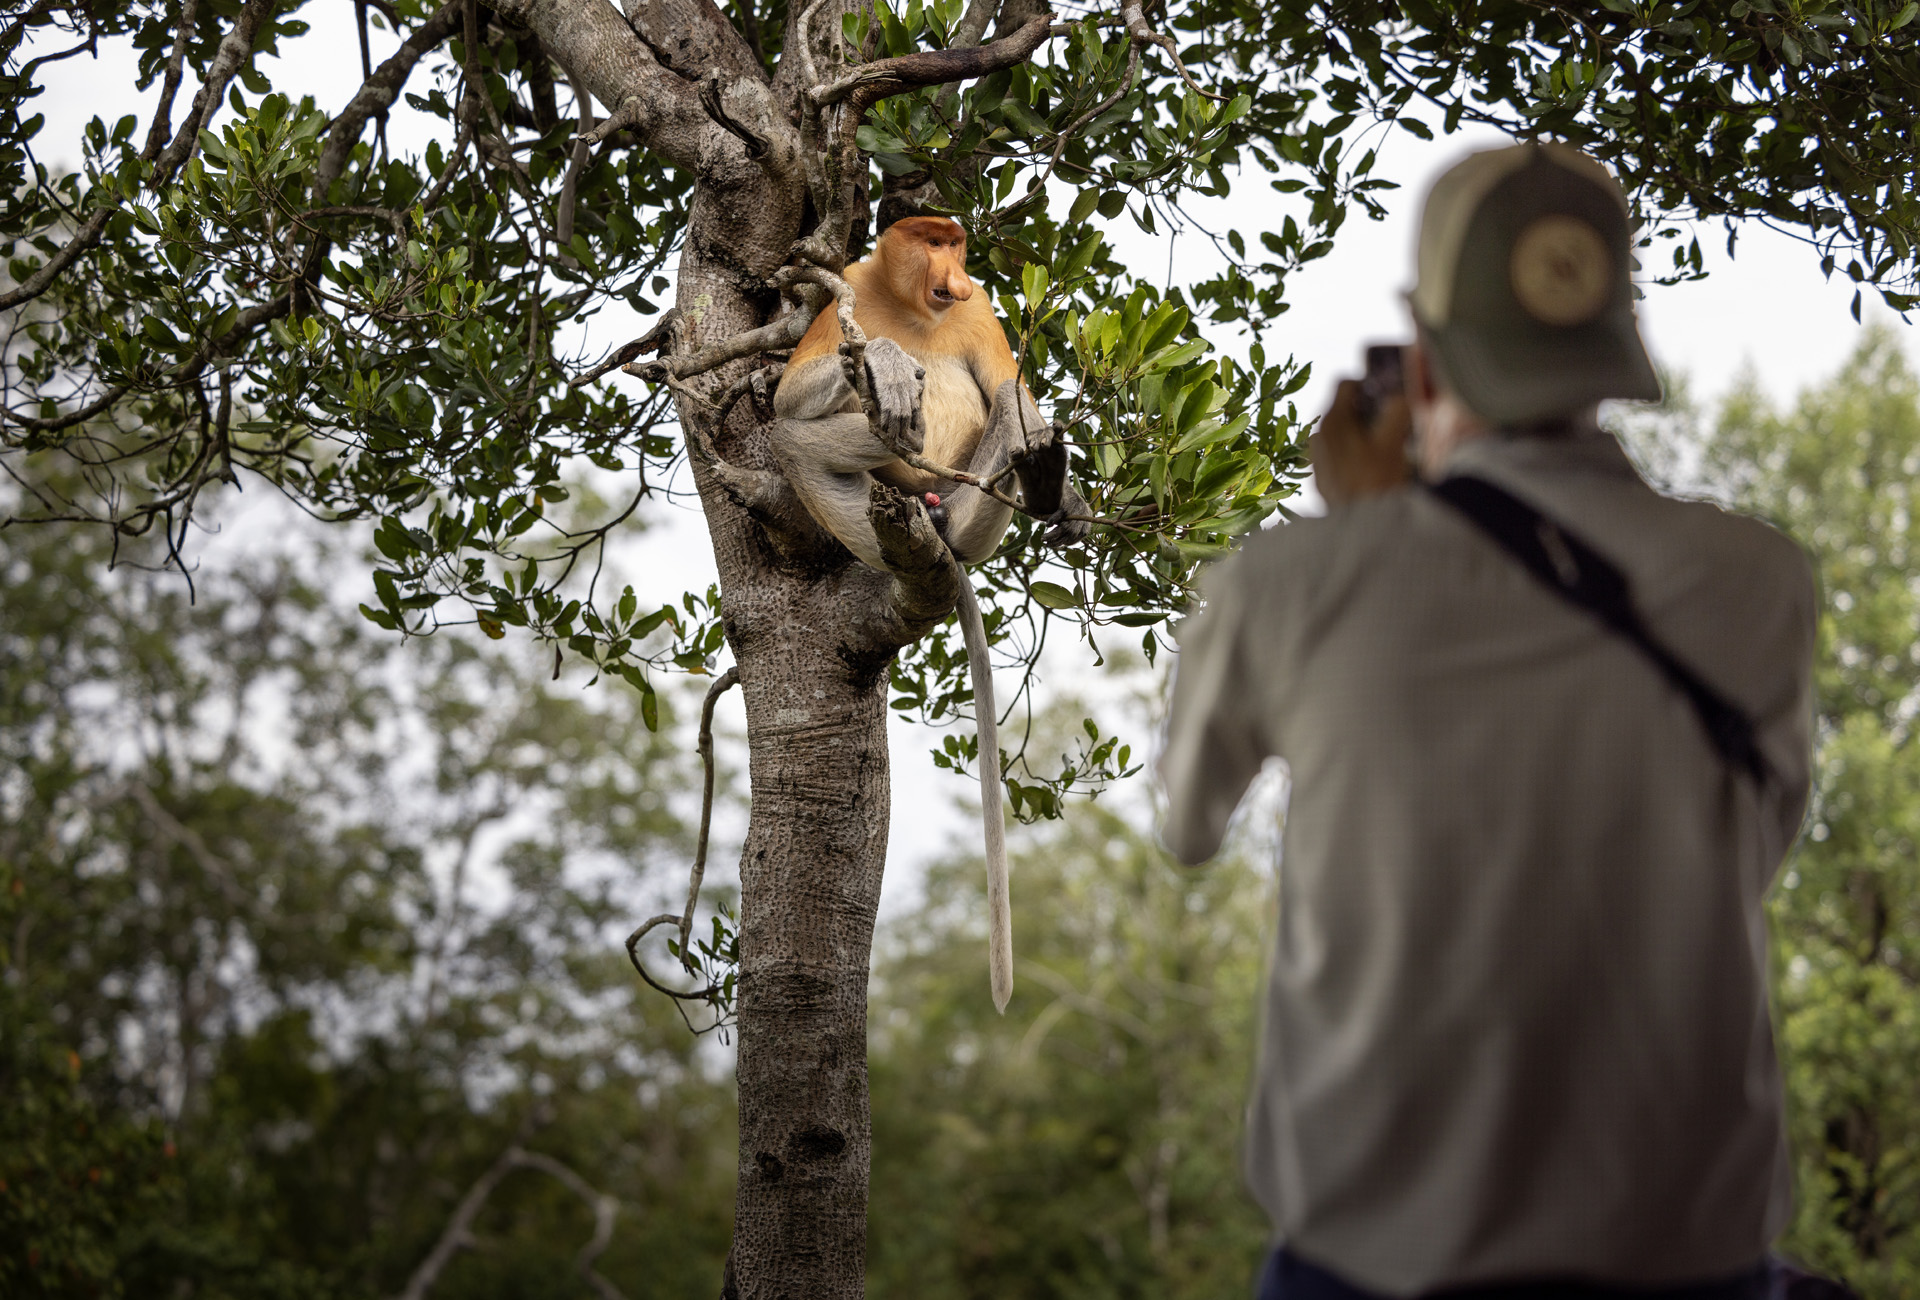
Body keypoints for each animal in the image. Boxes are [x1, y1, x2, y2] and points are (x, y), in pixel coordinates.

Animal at [771, 216, 1091, 1014]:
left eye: (957, 243)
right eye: (932, 241)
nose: (958, 274)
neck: (914, 308)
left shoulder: (981, 316)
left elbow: (1014, 388)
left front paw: (1068, 500)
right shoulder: (849, 291)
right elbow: (789, 397)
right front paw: (886, 365)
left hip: (979, 496)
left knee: (1007, 410)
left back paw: (1041, 482)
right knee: (794, 435)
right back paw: (899, 439)